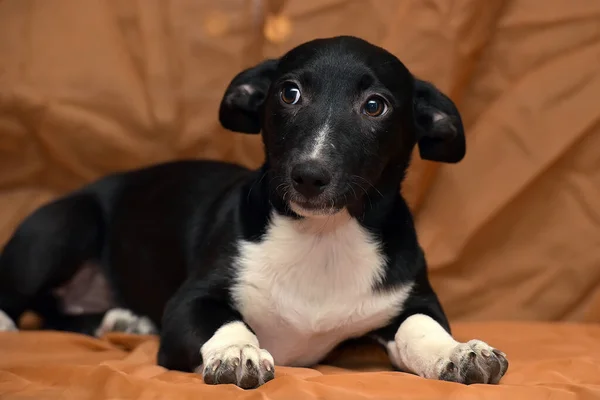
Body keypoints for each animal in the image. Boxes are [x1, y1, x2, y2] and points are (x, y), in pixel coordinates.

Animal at [0, 36, 506, 388]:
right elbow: (227, 319)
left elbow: (422, 327)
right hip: (66, 225)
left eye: (375, 105)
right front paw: (238, 352)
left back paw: (119, 320)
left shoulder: (414, 299)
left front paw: (458, 352)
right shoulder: (187, 304)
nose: (309, 175)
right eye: (289, 93)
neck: (323, 237)